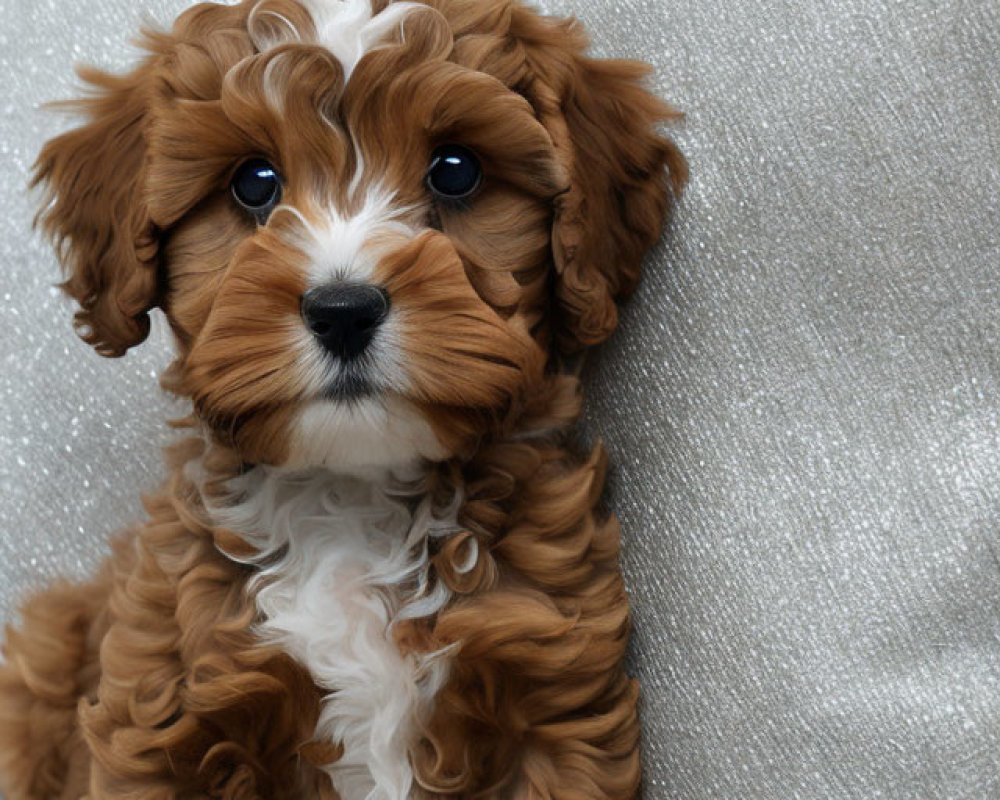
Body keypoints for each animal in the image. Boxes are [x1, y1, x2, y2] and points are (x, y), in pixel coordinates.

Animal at [0, 3, 688, 796]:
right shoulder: (163, 719)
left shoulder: (549, 699)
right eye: (254, 183)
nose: (343, 310)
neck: (352, 496)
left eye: (456, 171)